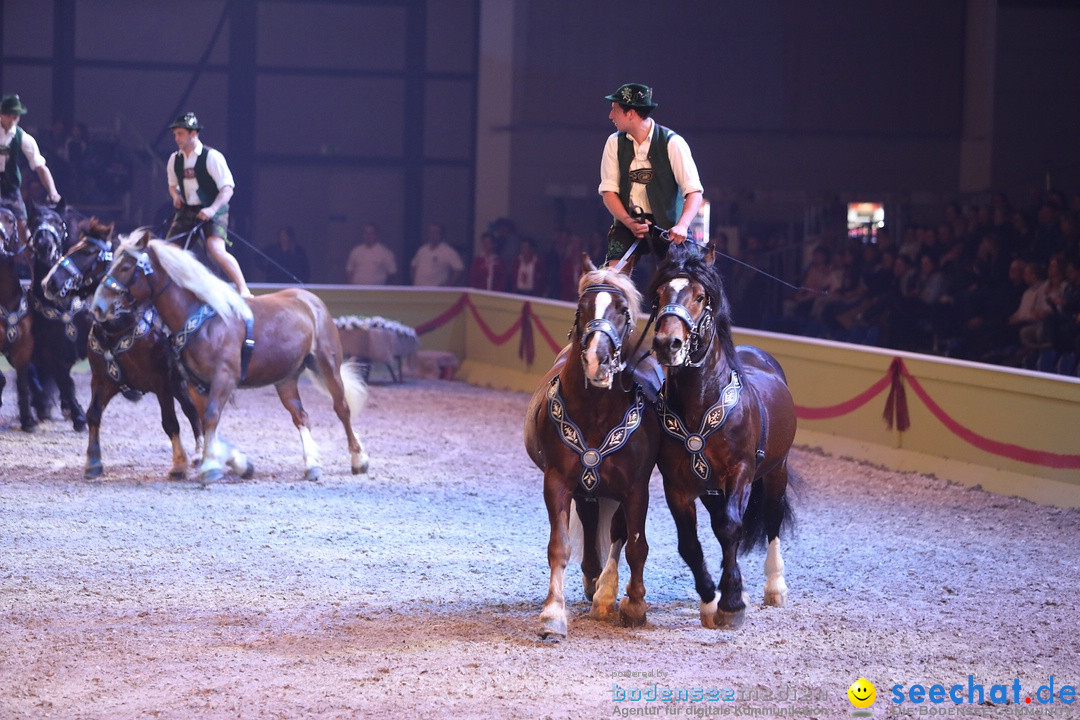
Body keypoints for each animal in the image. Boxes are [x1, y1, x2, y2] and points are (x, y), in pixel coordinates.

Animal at [42, 220, 204, 479]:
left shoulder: (162, 383)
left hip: (180, 382)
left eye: (87, 251)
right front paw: (93, 462)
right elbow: (93, 415)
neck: (118, 327)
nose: (50, 282)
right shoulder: (101, 380)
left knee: (193, 411)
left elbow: (170, 421)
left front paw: (179, 464)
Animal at [89, 232, 367, 483]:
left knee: (342, 408)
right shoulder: (196, 384)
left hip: (327, 365)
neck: (203, 319)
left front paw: (211, 466)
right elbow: (205, 420)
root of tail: (310, 299)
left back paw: (358, 460)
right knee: (301, 416)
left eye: (126, 266)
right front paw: (234, 462)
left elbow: (210, 416)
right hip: (285, 379)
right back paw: (312, 464)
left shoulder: (224, 377)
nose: (98, 306)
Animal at [520, 259, 656, 643]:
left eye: (623, 311)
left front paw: (634, 606)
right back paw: (594, 581)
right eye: (581, 310)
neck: (596, 411)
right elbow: (559, 546)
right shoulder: (558, 482)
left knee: (618, 534)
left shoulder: (636, 488)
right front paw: (552, 616)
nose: (598, 360)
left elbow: (636, 544)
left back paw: (605, 594)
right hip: (587, 489)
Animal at [643, 241, 799, 630]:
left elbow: (731, 528)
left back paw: (774, 587)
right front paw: (711, 600)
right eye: (658, 294)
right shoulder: (677, 484)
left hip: (776, 471)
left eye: (700, 296)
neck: (701, 403)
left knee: (771, 518)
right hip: (711, 489)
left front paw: (731, 604)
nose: (668, 343)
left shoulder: (739, 472)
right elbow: (690, 543)